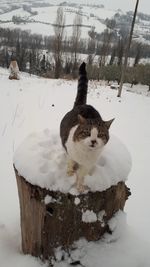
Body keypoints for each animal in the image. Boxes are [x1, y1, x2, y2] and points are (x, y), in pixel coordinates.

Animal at [59, 62, 113, 193]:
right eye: (87, 132)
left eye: (100, 135)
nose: (93, 141)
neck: (86, 153)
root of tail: (83, 104)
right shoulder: (70, 153)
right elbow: (70, 162)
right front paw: (70, 172)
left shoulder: (88, 164)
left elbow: (82, 174)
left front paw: (80, 185)